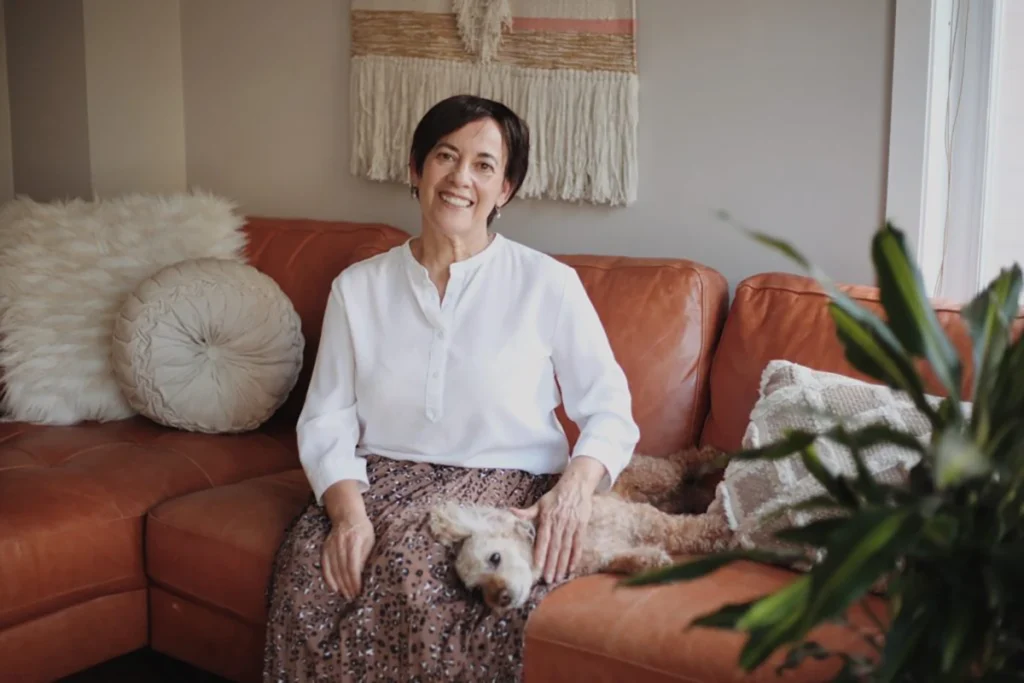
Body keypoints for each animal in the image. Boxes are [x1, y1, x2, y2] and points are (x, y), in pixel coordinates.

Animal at [428, 448, 733, 614]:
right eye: (477, 589)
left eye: (495, 558)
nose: (500, 600)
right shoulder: (608, 555)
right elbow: (625, 559)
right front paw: (650, 562)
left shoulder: (649, 522)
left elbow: (692, 531)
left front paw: (725, 531)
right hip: (661, 494)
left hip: (657, 477)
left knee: (681, 461)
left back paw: (714, 457)